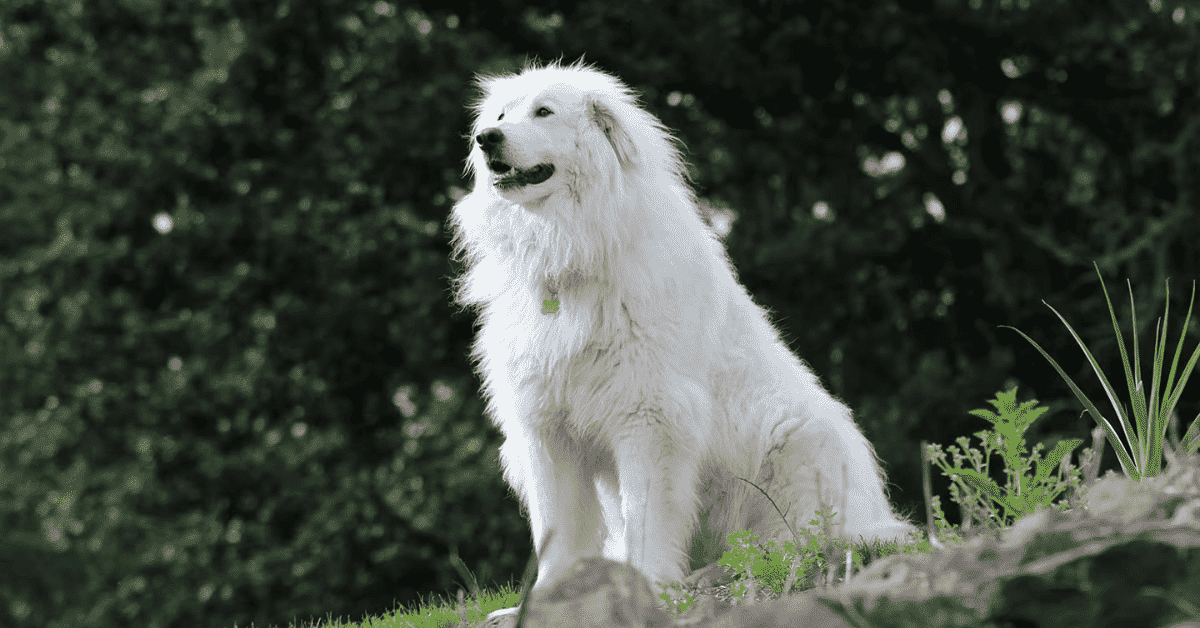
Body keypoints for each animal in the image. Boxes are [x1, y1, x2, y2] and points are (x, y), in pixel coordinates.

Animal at [451, 62, 907, 605]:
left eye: (543, 112)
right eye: (501, 115)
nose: (486, 138)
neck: (571, 249)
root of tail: (878, 519)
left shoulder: (650, 419)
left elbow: (648, 519)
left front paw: (648, 584)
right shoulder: (546, 428)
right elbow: (557, 528)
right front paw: (554, 598)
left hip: (800, 443)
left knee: (791, 548)